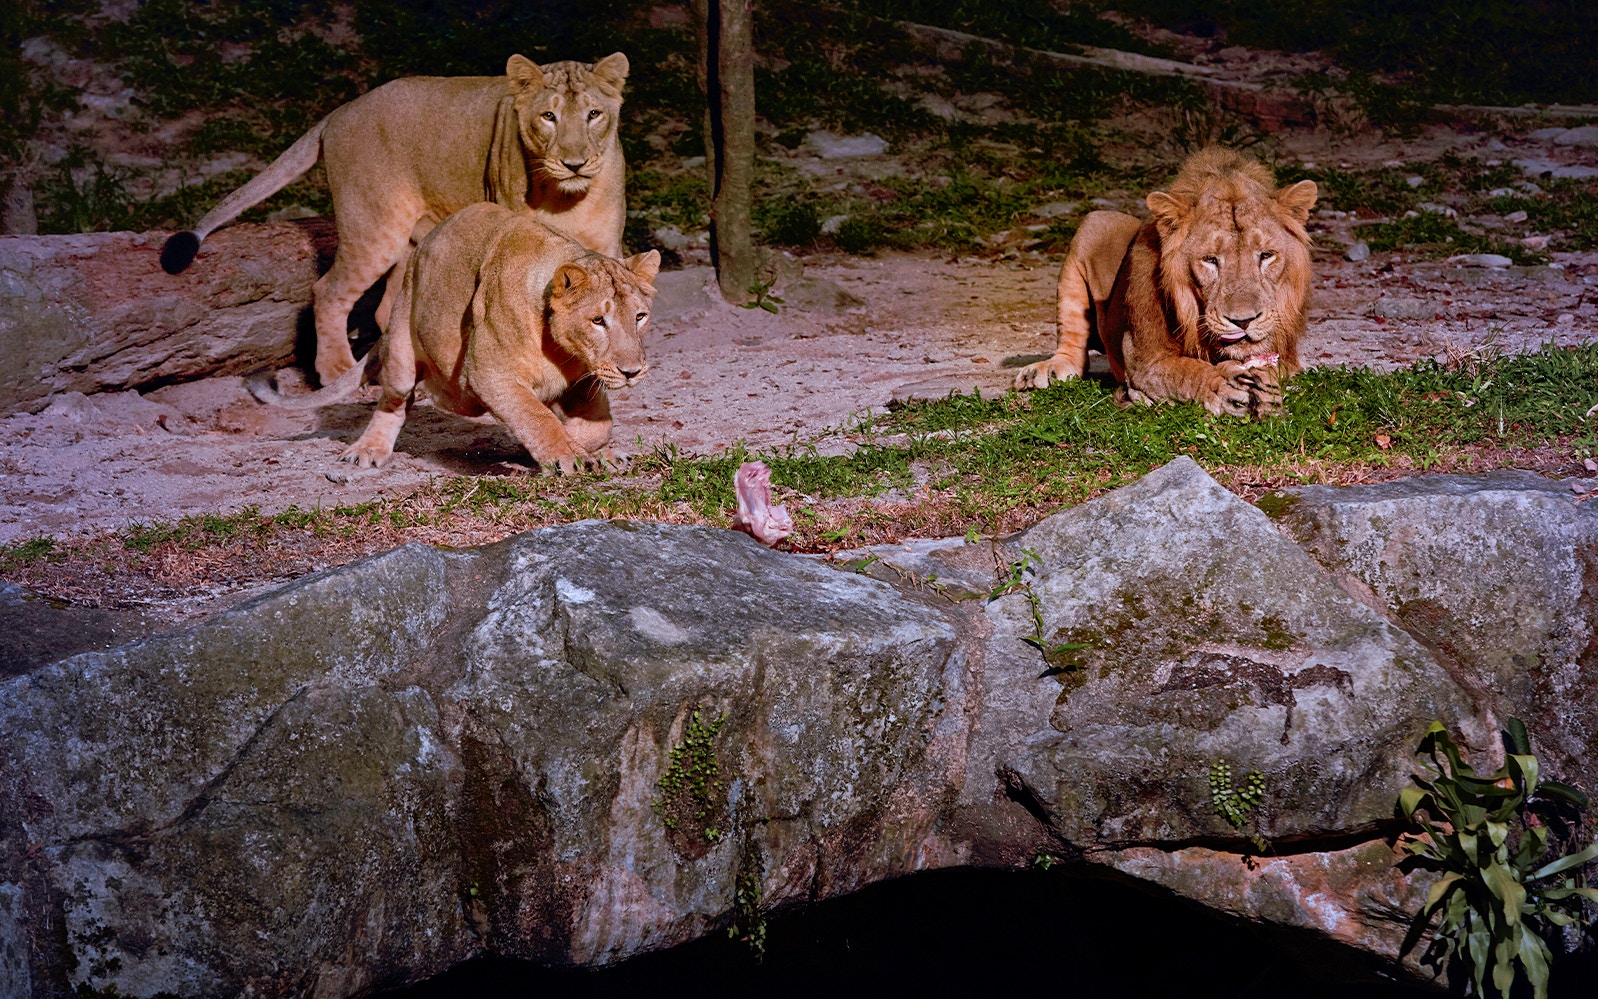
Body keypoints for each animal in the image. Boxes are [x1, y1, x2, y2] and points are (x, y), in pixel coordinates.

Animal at [161, 53, 630, 385]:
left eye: (594, 114)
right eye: (548, 117)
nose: (574, 163)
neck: (567, 198)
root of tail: (340, 111)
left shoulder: (604, 250)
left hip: (409, 240)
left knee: (388, 311)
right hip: (375, 231)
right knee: (328, 291)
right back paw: (335, 370)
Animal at [250, 202, 658, 475]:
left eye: (639, 316)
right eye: (598, 321)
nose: (632, 372)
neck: (565, 352)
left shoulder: (585, 382)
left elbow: (595, 426)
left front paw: (589, 452)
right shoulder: (490, 374)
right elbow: (537, 417)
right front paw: (569, 456)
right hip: (401, 345)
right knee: (392, 402)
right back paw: (367, 450)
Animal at [1014, 147, 1317, 417]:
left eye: (1266, 255)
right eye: (1210, 260)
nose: (1243, 321)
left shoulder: (1287, 357)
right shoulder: (1144, 358)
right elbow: (1185, 372)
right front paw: (1221, 386)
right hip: (1096, 221)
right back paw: (1047, 370)